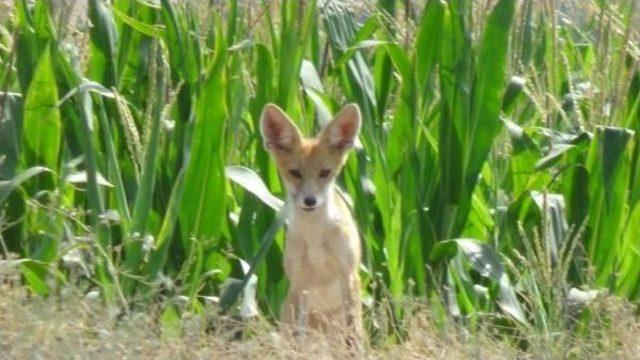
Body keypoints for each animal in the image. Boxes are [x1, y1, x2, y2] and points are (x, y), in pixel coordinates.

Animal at [258, 103, 362, 348]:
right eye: (295, 173)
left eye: (325, 173)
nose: (310, 201)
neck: (316, 237)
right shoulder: (300, 283)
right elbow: (300, 336)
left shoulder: (348, 274)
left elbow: (352, 336)